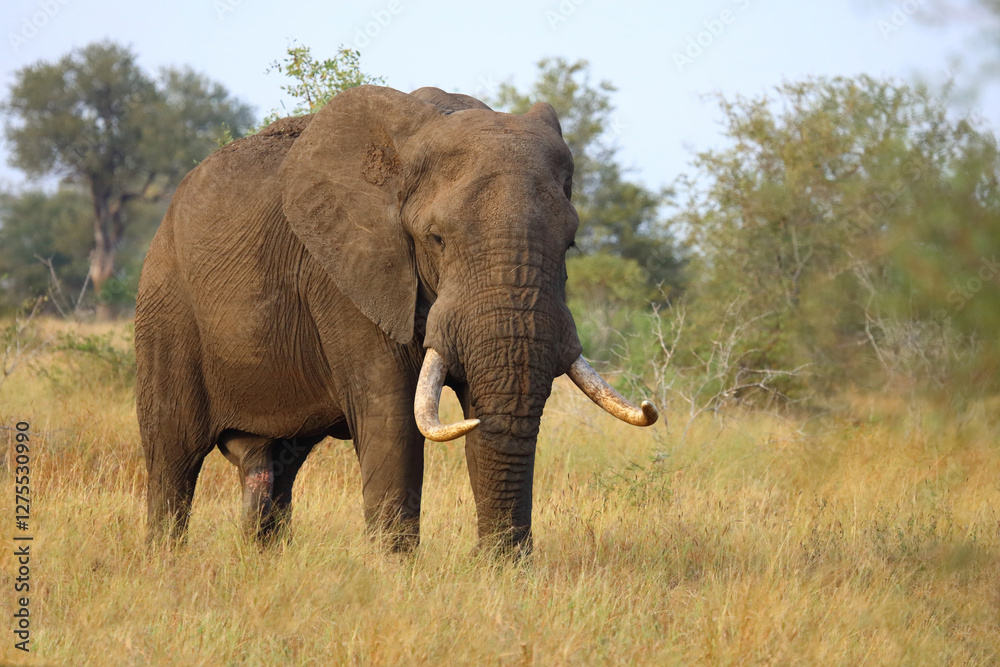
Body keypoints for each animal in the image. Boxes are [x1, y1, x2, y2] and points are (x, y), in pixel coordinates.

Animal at [135, 84, 658, 555]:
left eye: (570, 243)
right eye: (437, 239)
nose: (499, 562)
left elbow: (480, 413)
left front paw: (502, 574)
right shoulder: (346, 274)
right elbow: (392, 416)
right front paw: (394, 571)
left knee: (272, 464)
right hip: (166, 304)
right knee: (172, 456)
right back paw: (165, 561)